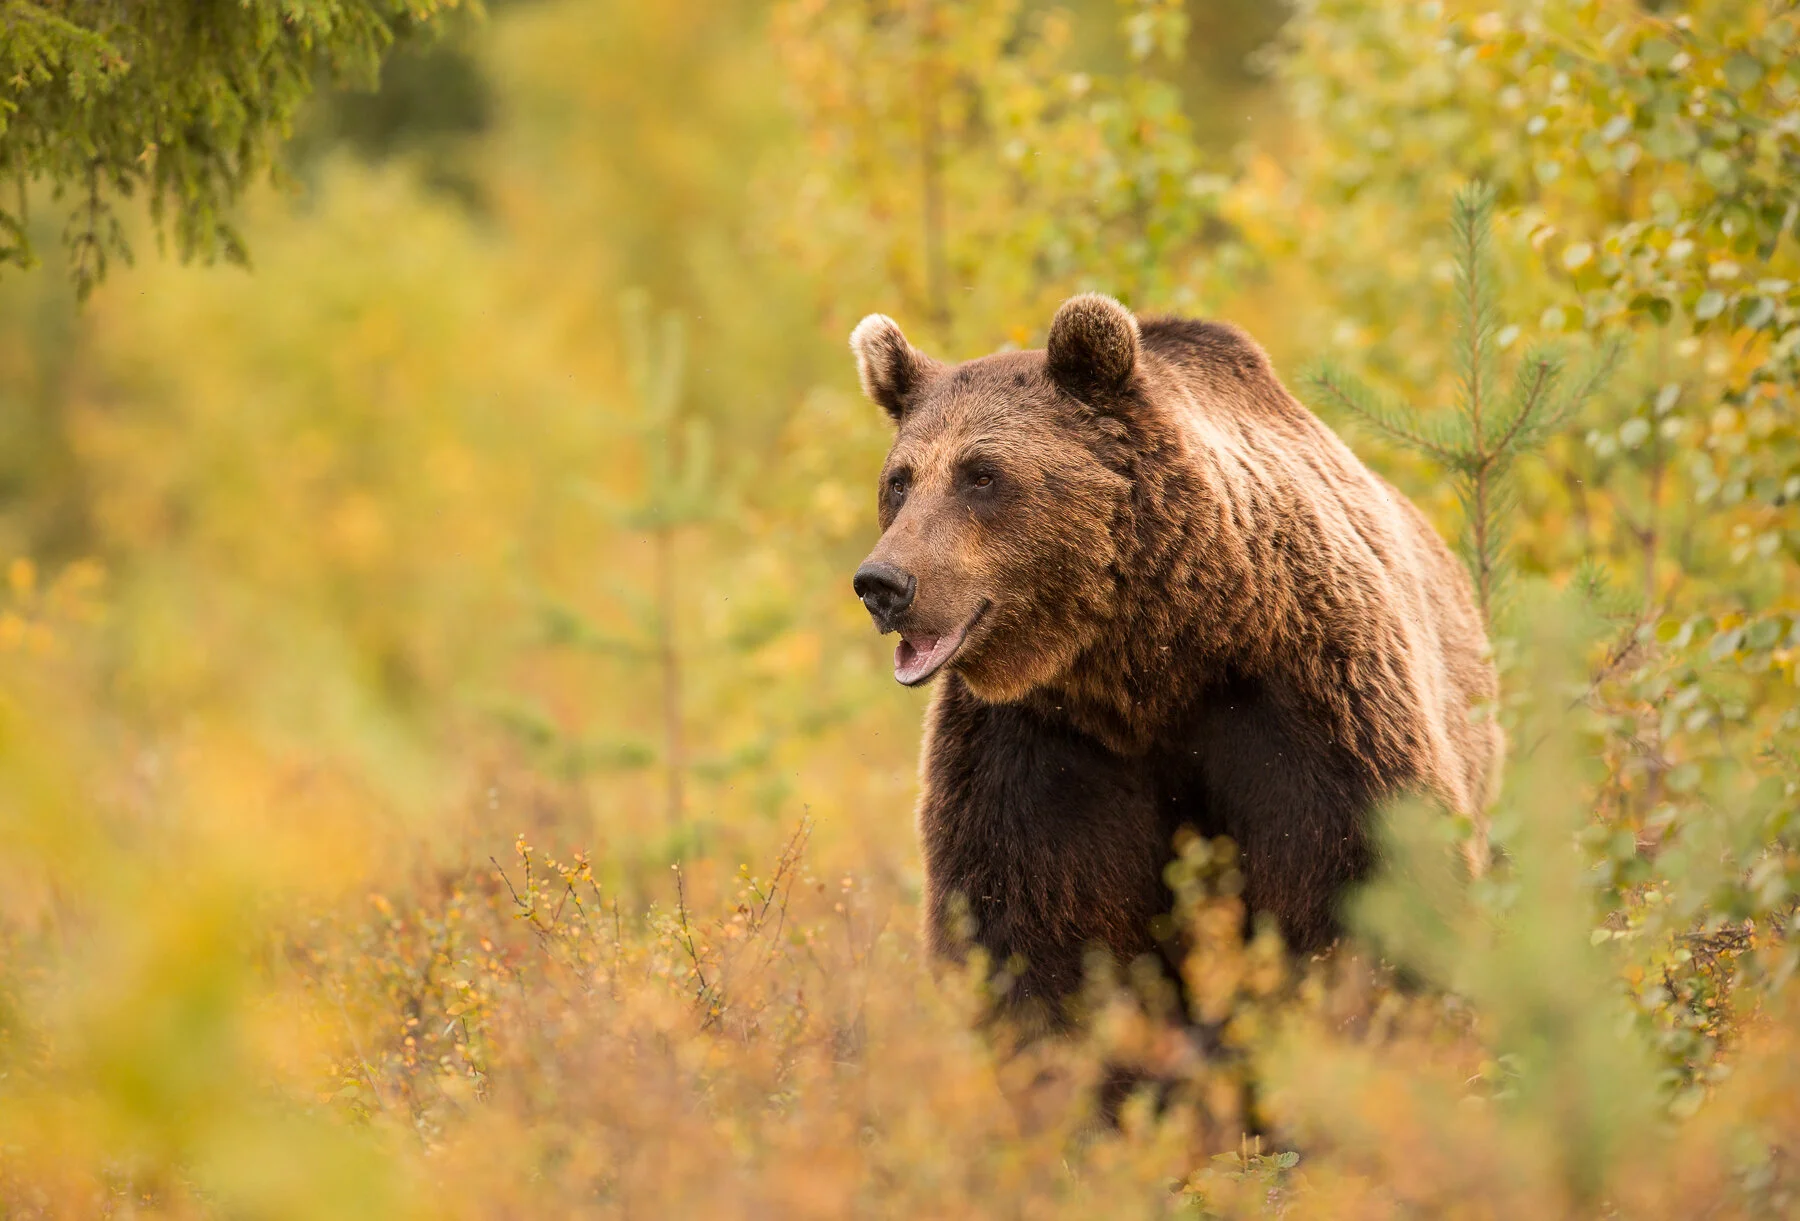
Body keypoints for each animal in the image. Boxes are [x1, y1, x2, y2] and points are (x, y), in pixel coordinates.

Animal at [848, 293, 1501, 1031]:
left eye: (982, 474)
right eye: (899, 481)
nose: (884, 583)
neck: (1157, 660)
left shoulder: (1309, 696)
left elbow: (1362, 881)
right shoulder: (1042, 743)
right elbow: (1037, 923)